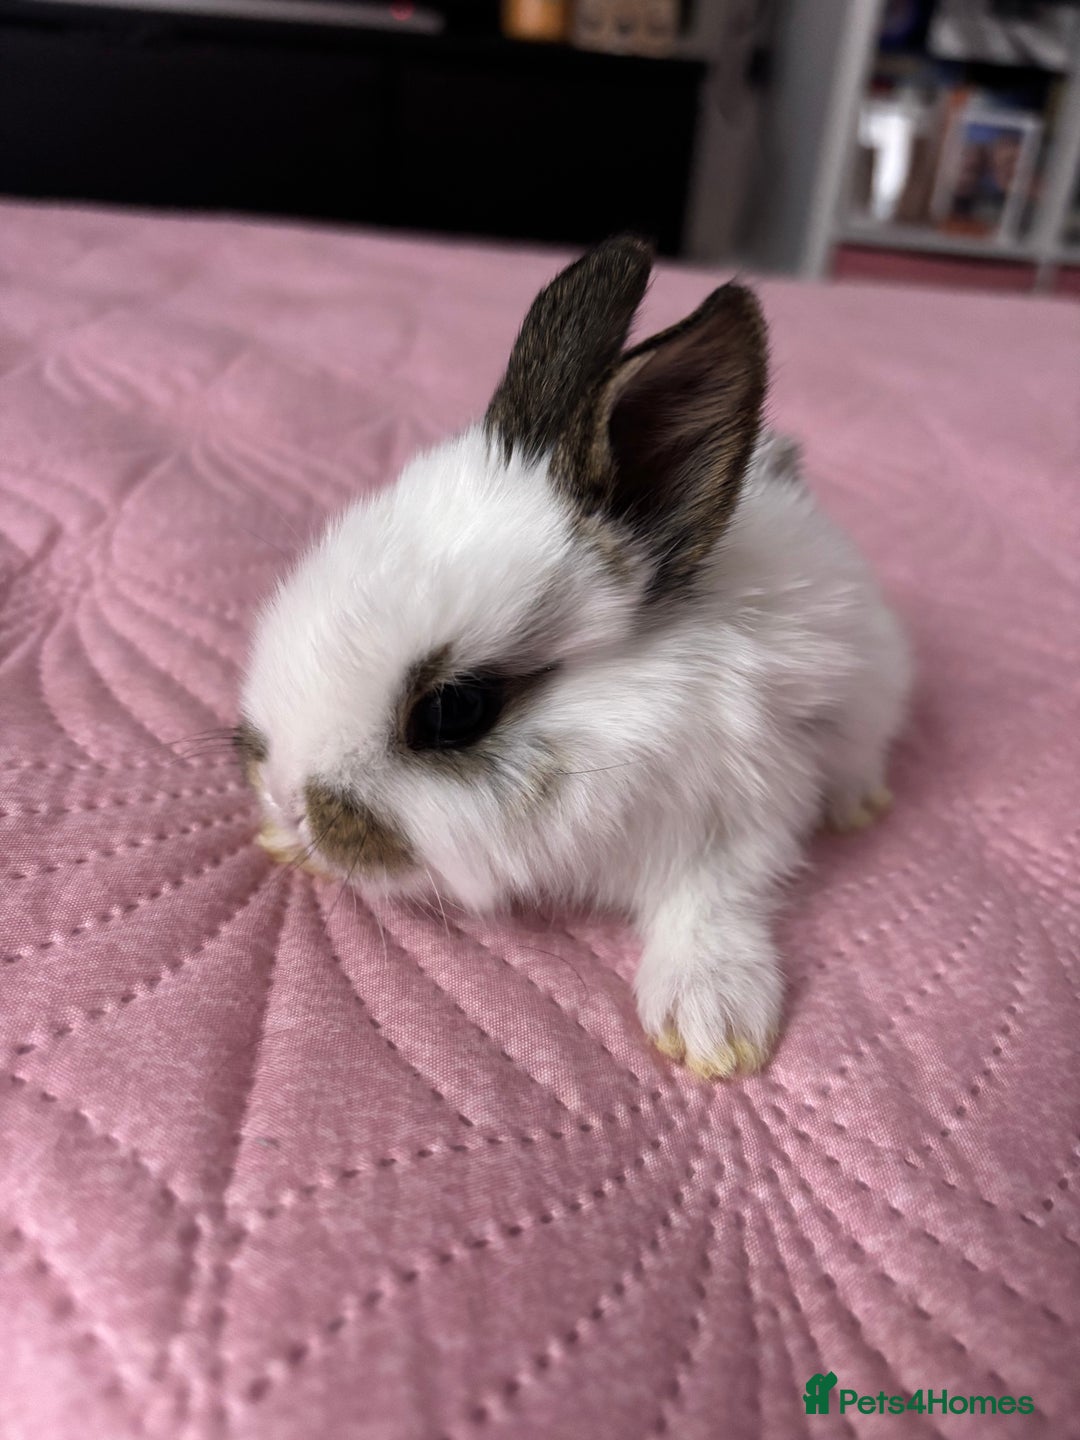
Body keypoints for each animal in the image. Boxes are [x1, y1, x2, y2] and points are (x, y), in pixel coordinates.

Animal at [237, 235, 911, 1079]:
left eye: (455, 710)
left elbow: (713, 906)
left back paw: (859, 806)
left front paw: (712, 1028)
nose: (289, 798)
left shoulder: (742, 814)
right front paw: (280, 842)